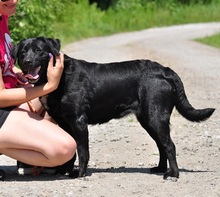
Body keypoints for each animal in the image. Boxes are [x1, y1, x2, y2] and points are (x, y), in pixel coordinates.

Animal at [10, 36, 215, 179]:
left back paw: (172, 174)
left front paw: (79, 173)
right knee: (162, 145)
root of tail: (165, 70)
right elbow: (70, 151)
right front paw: (63, 170)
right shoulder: (64, 122)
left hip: (155, 116)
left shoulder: (78, 121)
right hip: (148, 120)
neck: (58, 78)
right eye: (23, 52)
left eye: (39, 51)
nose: (27, 62)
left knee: (170, 145)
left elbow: (82, 151)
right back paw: (160, 169)